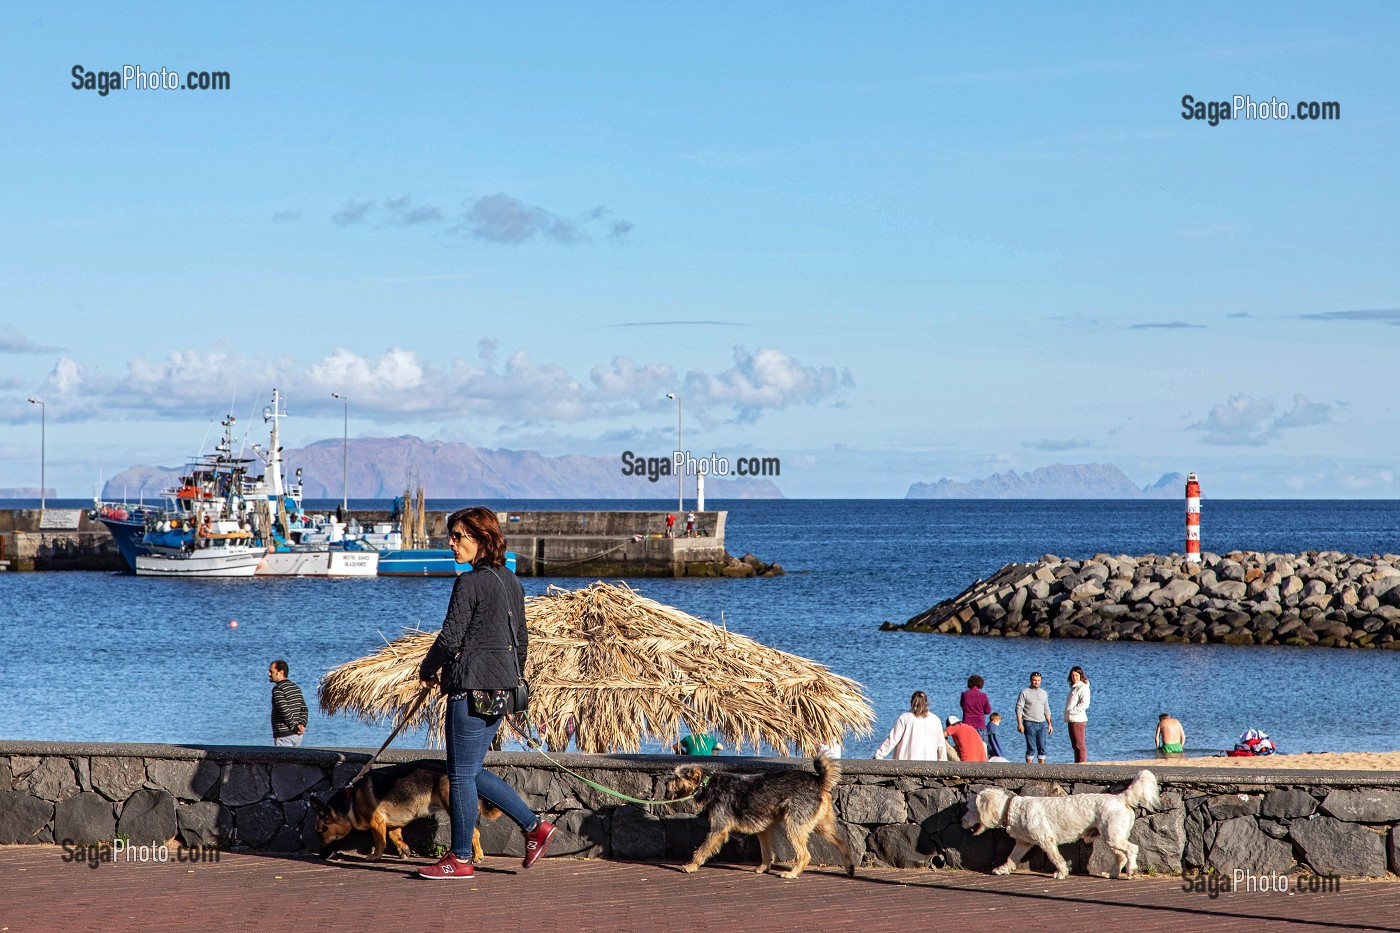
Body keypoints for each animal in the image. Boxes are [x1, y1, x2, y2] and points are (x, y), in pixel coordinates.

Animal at [313, 756, 504, 857]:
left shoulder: (376, 822)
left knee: (474, 832)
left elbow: (379, 840)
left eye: (322, 831)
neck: (350, 799)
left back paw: (478, 856)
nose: (320, 855)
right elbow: (393, 836)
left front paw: (374, 857)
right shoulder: (391, 823)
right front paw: (403, 849)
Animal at [663, 750, 851, 874]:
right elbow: (766, 851)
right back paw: (849, 867)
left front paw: (691, 865)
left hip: (795, 825)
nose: (665, 783)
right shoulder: (763, 829)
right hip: (820, 825)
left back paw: (792, 873)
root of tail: (818, 781)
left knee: (804, 854)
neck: (708, 783)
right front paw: (764, 867)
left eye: (677, 777)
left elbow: (702, 848)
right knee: (841, 842)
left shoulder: (718, 829)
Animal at [963, 767, 1159, 874]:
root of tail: (1120, 798)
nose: (961, 820)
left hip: (1113, 836)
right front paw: (1003, 869)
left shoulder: (1046, 840)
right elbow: (1012, 857)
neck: (1011, 808)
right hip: (1110, 837)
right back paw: (1112, 873)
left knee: (1131, 850)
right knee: (1120, 856)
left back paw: (1131, 870)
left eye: (969, 809)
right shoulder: (1023, 843)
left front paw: (1062, 872)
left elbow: (1055, 858)